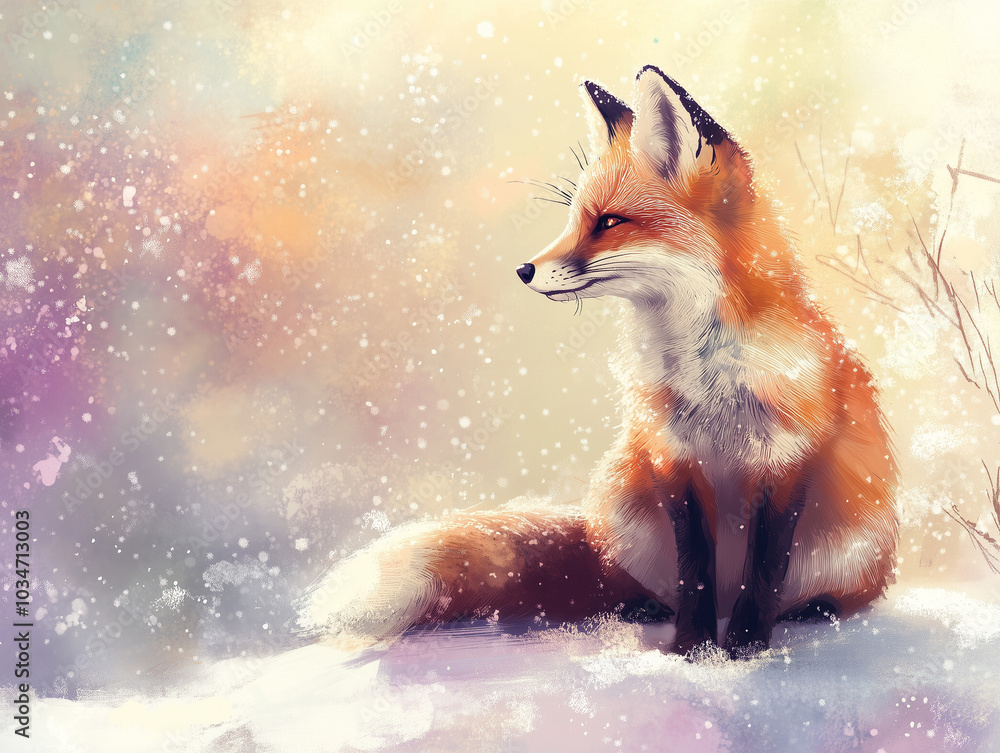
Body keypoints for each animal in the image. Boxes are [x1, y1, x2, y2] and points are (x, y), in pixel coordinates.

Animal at [299, 66, 898, 658]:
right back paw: (644, 607)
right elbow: (694, 570)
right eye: (574, 219)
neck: (706, 374)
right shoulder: (670, 457)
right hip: (621, 499)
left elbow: (766, 570)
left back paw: (813, 609)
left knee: (820, 593)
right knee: (637, 584)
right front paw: (692, 649)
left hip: (857, 542)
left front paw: (746, 647)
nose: (523, 270)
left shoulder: (787, 458)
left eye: (609, 222)